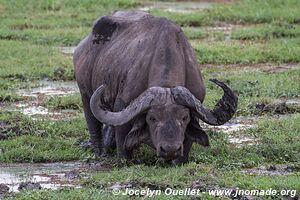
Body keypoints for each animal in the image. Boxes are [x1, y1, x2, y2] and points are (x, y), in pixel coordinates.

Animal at [72, 10, 237, 164]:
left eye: (184, 118)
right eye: (152, 118)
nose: (170, 149)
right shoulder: (122, 107)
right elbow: (123, 144)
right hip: (85, 94)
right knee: (93, 123)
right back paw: (100, 151)